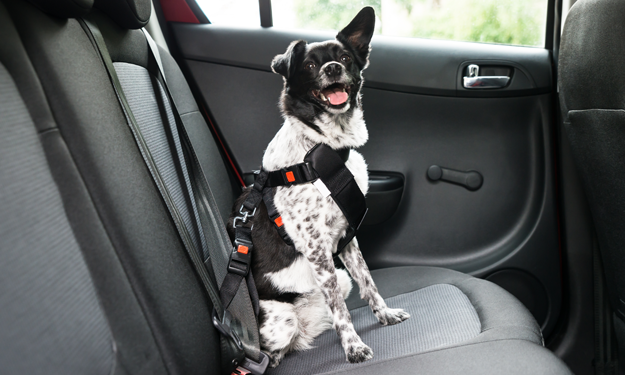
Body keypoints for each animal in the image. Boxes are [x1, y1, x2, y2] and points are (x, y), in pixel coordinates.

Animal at [229, 7, 410, 368]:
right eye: (310, 66)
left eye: (345, 57)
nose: (333, 68)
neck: (322, 146)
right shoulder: (316, 248)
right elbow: (341, 312)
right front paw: (353, 347)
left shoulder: (347, 237)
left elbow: (368, 282)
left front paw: (384, 315)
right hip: (283, 320)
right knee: (274, 350)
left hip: (339, 279)